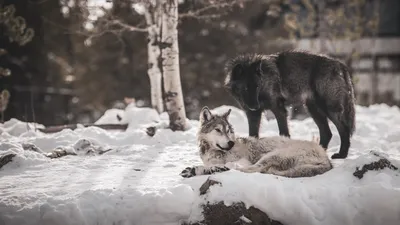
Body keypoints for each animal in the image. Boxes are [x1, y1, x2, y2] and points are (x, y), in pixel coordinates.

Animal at [180, 106, 332, 178]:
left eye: (228, 130)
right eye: (218, 130)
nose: (231, 143)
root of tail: (327, 160)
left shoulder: (243, 160)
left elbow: (227, 165)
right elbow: (212, 165)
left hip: (271, 155)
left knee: (250, 169)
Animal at [225, 50, 356, 160]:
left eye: (257, 86)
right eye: (246, 88)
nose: (255, 106)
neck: (265, 81)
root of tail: (339, 64)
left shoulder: (278, 109)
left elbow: (283, 132)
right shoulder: (253, 115)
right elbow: (253, 135)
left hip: (329, 108)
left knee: (344, 130)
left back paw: (342, 155)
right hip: (313, 110)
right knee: (327, 133)